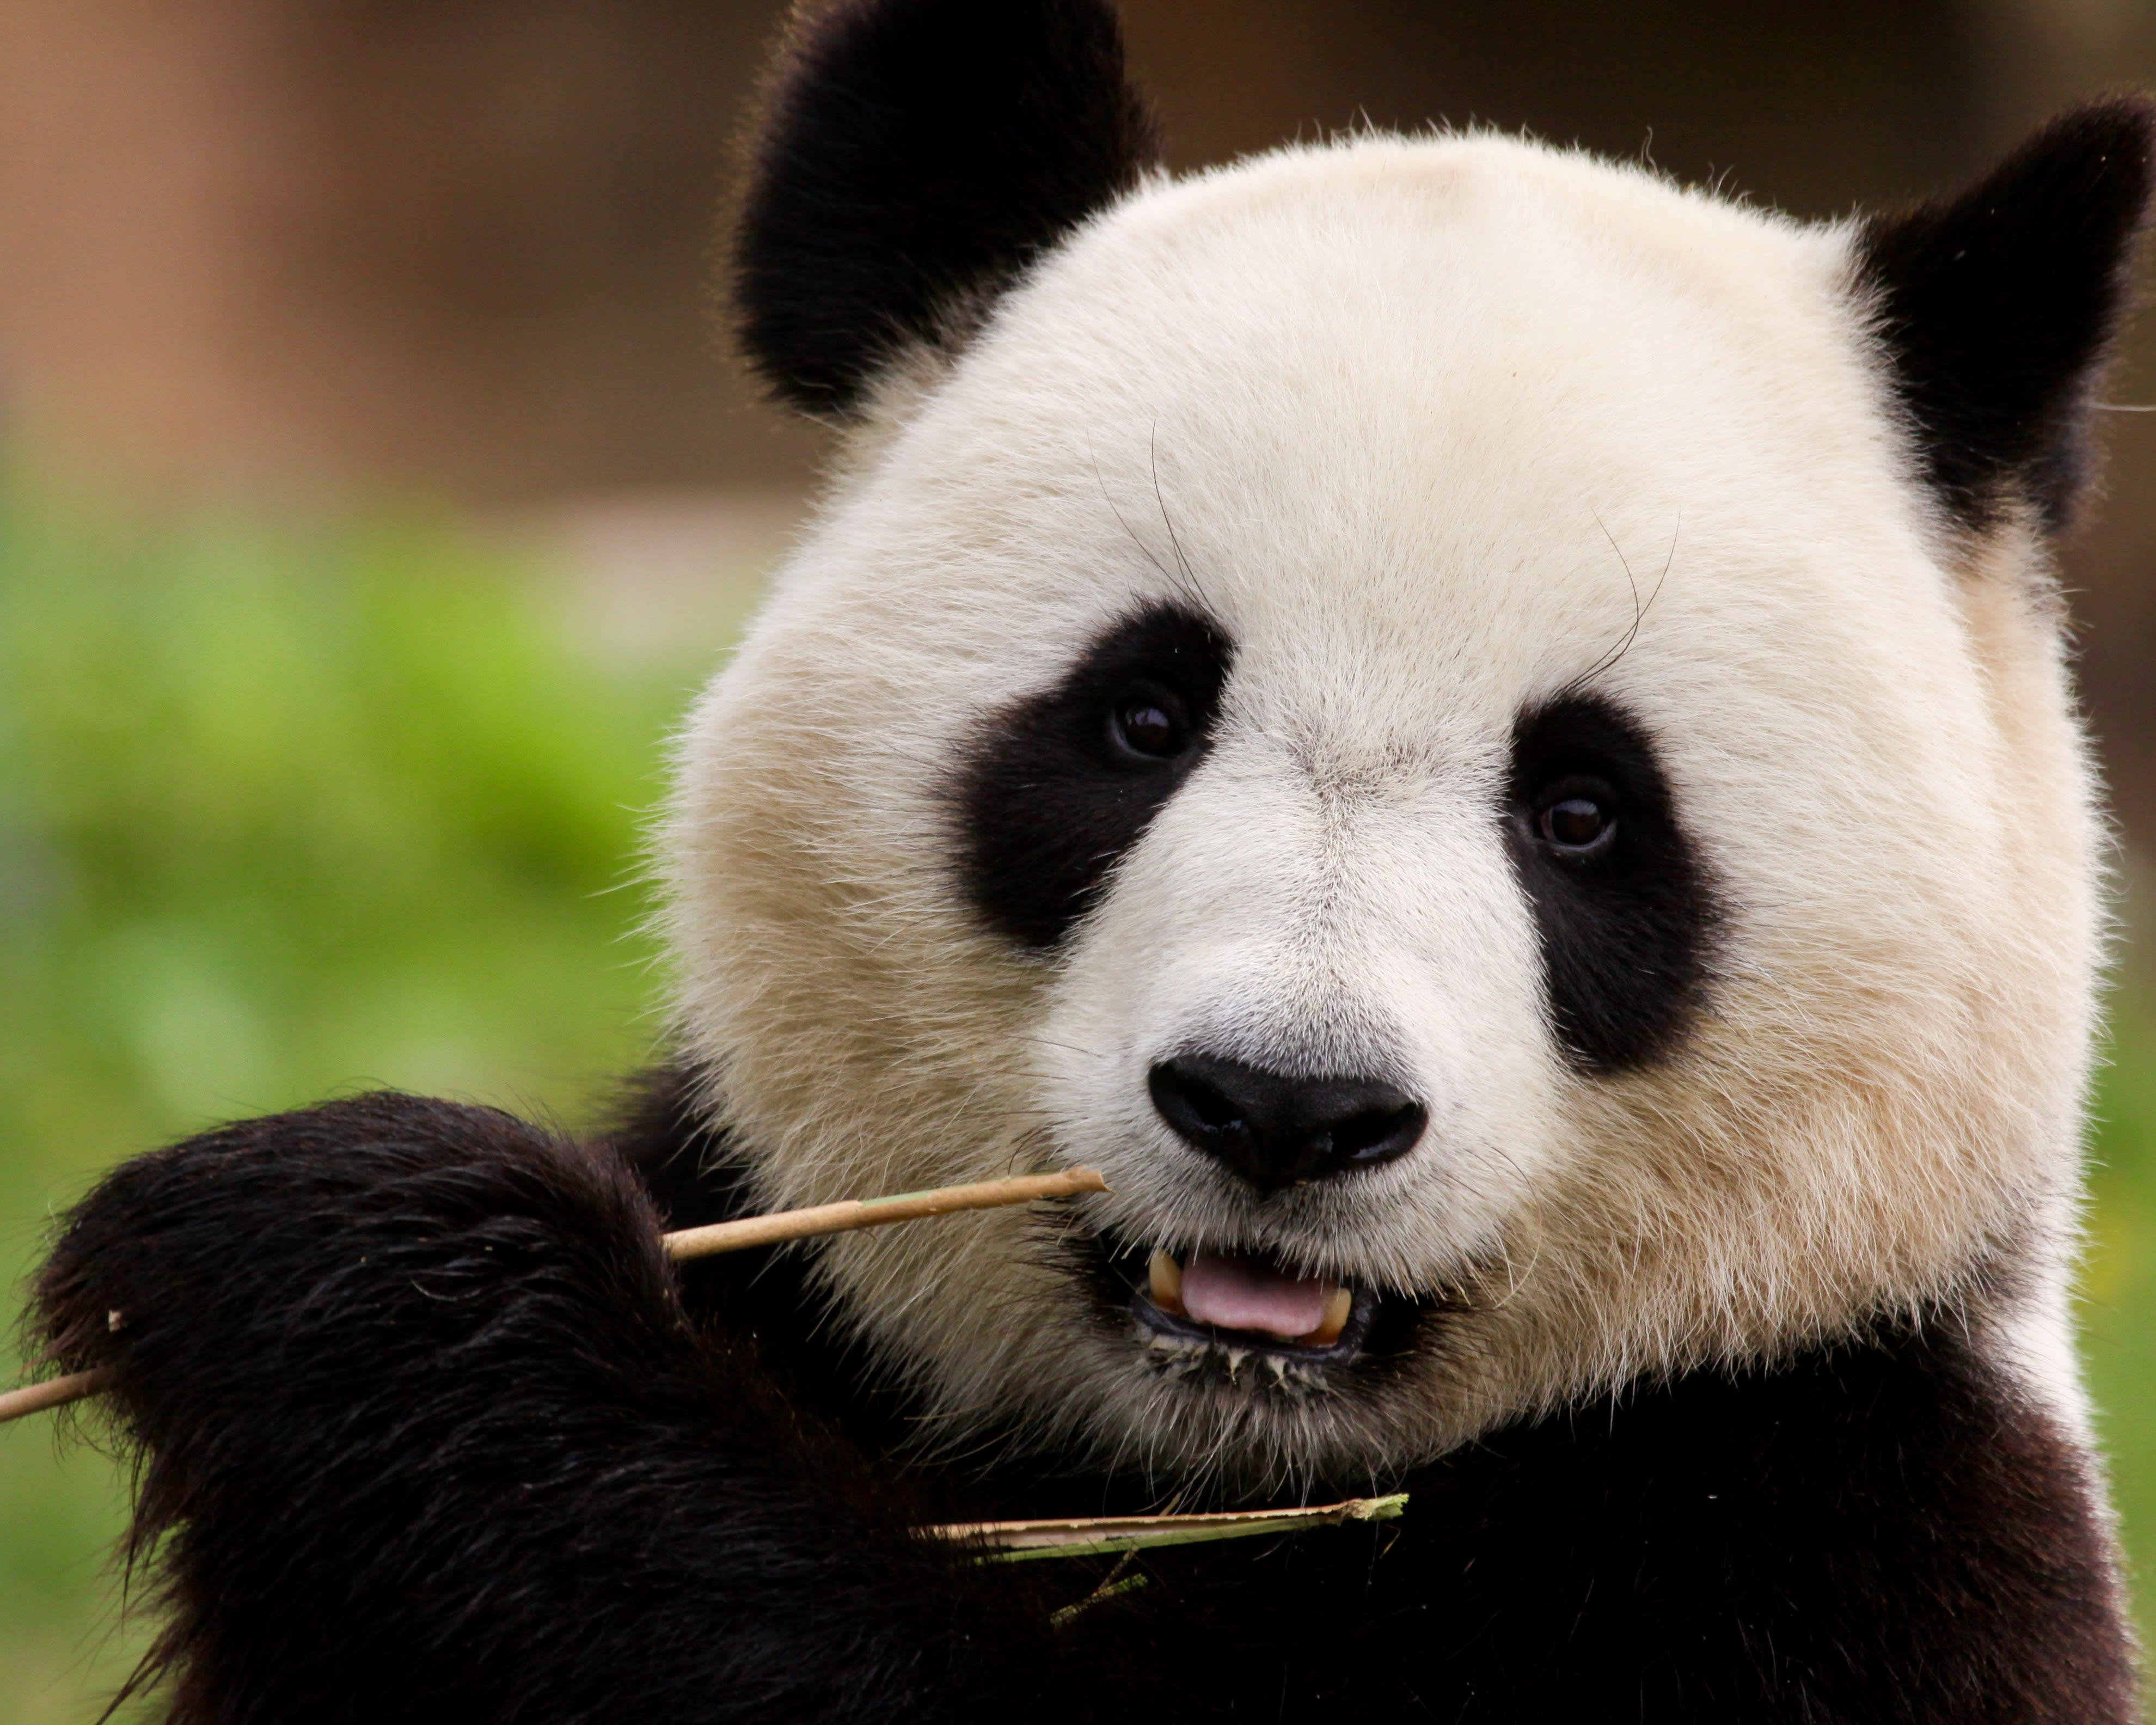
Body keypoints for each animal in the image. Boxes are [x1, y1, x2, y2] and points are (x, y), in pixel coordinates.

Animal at [30, 0, 2155, 1719]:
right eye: (1140, 717)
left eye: (1583, 811)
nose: (1285, 1106)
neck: (1207, 1467)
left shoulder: (1822, 1541)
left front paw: (345, 1253)